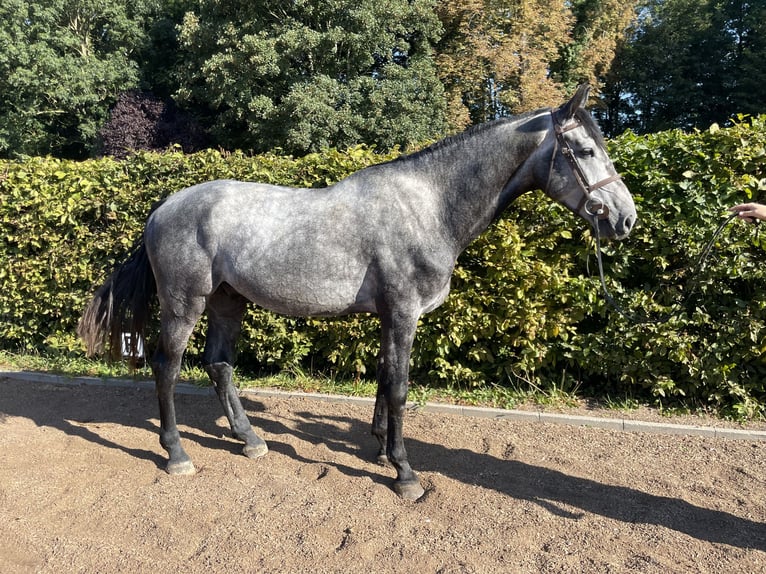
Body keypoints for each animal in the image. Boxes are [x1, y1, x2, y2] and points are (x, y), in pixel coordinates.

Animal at [78, 84, 636, 500]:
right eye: (586, 150)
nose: (626, 219)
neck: (427, 205)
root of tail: (164, 207)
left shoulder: (391, 315)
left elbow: (385, 380)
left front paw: (380, 448)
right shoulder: (404, 312)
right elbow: (401, 387)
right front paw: (405, 474)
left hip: (227, 301)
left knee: (219, 364)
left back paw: (250, 440)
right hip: (184, 303)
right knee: (167, 366)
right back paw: (176, 454)